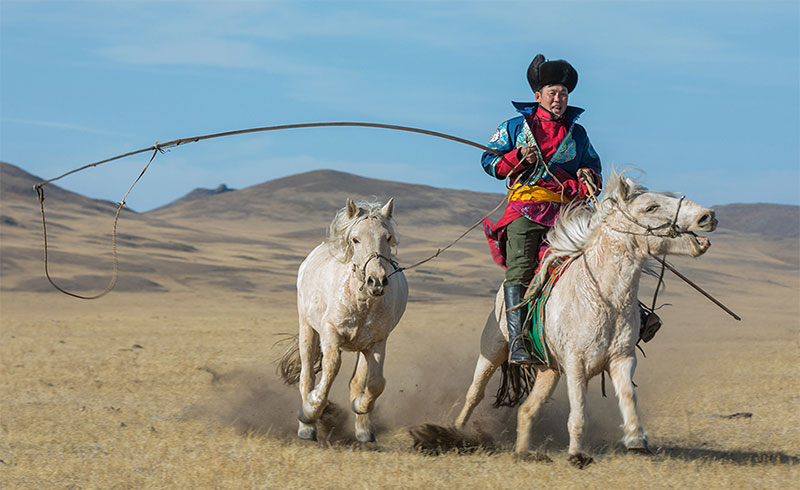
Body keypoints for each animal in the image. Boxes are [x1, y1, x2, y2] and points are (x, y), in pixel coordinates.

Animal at [278, 198, 408, 443]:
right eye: (356, 239)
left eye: (387, 237)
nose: (376, 281)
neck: (361, 301)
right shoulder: (331, 333)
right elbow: (330, 369)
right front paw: (310, 411)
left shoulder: (376, 342)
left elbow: (375, 383)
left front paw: (360, 408)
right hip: (307, 328)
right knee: (307, 375)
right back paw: (306, 427)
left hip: (362, 347)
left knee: (357, 382)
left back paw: (363, 430)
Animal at [451, 172, 717, 466]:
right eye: (651, 207)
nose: (707, 216)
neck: (603, 298)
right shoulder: (576, 366)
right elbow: (578, 413)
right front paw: (577, 455)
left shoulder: (621, 360)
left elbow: (628, 398)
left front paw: (637, 441)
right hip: (494, 349)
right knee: (475, 393)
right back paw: (456, 433)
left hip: (549, 370)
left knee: (527, 410)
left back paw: (524, 452)